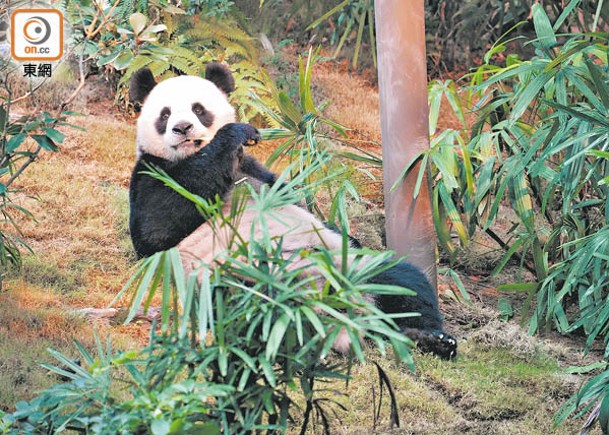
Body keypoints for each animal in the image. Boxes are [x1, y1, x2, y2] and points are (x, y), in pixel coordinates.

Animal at [128, 62, 456, 362]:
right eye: (165, 114)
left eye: (198, 109)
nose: (182, 128)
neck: (194, 155)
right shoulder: (151, 172)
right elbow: (157, 228)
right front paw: (235, 133)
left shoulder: (259, 173)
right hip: (236, 275)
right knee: (259, 305)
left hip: (354, 266)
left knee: (402, 282)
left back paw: (430, 338)